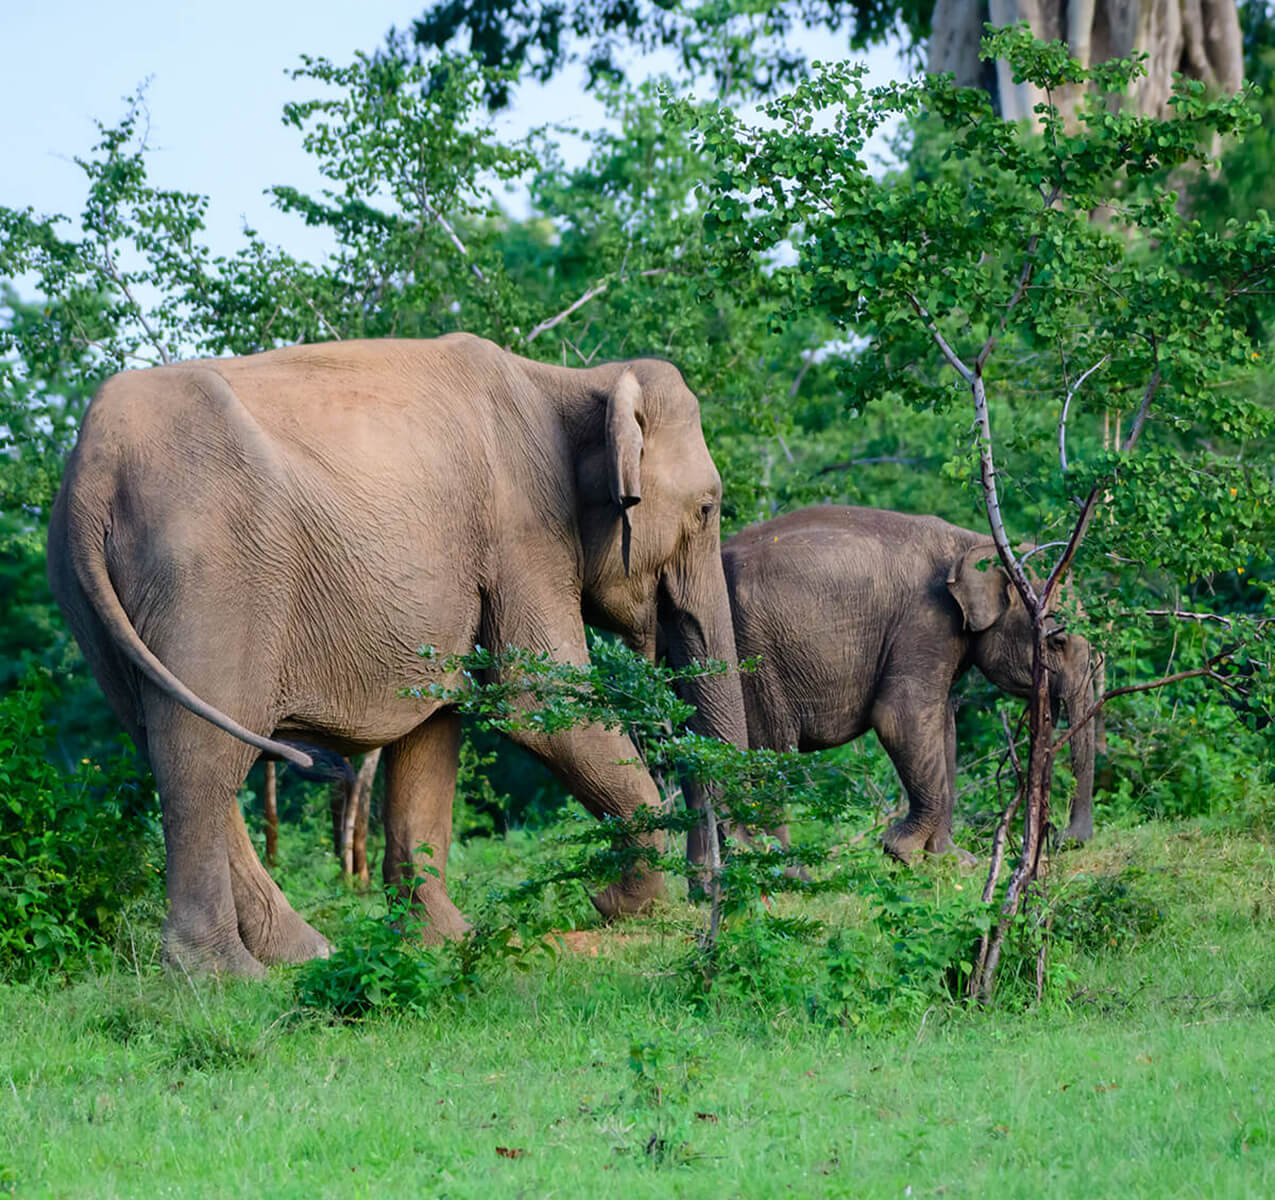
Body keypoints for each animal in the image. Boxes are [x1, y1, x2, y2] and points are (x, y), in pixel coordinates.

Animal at [47, 331, 744, 979]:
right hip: (210, 575)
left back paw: (303, 953)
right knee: (203, 759)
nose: (712, 897)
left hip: (95, 602)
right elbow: (539, 707)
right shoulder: (522, 530)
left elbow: (434, 728)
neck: (573, 380)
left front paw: (445, 944)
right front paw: (622, 906)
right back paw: (224, 977)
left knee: (169, 743)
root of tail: (94, 464)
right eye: (708, 508)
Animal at [698, 502, 1096, 862]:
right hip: (752, 653)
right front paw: (900, 851)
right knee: (771, 748)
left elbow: (943, 728)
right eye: (1057, 642)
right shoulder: (925, 618)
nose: (1065, 841)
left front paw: (953, 861)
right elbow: (899, 717)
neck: (976, 542)